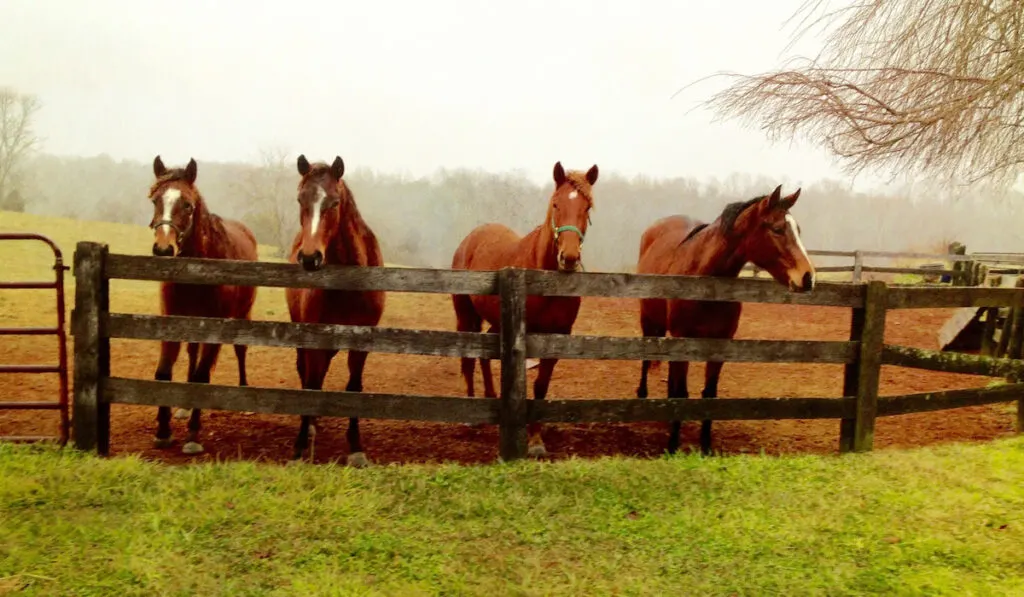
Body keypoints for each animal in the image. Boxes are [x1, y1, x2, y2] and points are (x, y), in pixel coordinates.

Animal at [148, 156, 260, 454]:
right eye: (155, 200)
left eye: (187, 204)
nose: (164, 249)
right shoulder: (172, 323)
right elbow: (164, 372)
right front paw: (163, 431)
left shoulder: (216, 330)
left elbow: (201, 376)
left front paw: (193, 436)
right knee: (192, 354)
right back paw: (185, 407)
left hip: (242, 315)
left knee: (240, 351)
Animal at [286, 155, 385, 466]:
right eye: (299, 199)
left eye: (334, 202)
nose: (309, 258)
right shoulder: (315, 337)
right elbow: (311, 382)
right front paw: (299, 446)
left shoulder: (362, 341)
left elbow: (354, 387)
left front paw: (356, 448)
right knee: (308, 375)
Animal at [450, 158, 598, 458]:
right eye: (556, 204)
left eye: (587, 207)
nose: (569, 257)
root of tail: (470, 239)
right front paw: (532, 439)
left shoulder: (558, 336)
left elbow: (541, 386)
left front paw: (537, 439)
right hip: (465, 316)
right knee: (469, 359)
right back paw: (471, 414)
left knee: (484, 356)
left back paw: (491, 399)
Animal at [634, 186, 819, 458]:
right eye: (777, 229)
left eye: (798, 230)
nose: (807, 278)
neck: (706, 280)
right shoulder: (681, 339)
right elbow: (680, 393)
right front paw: (673, 446)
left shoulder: (720, 345)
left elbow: (709, 395)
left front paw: (705, 447)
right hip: (648, 321)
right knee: (647, 360)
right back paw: (642, 397)